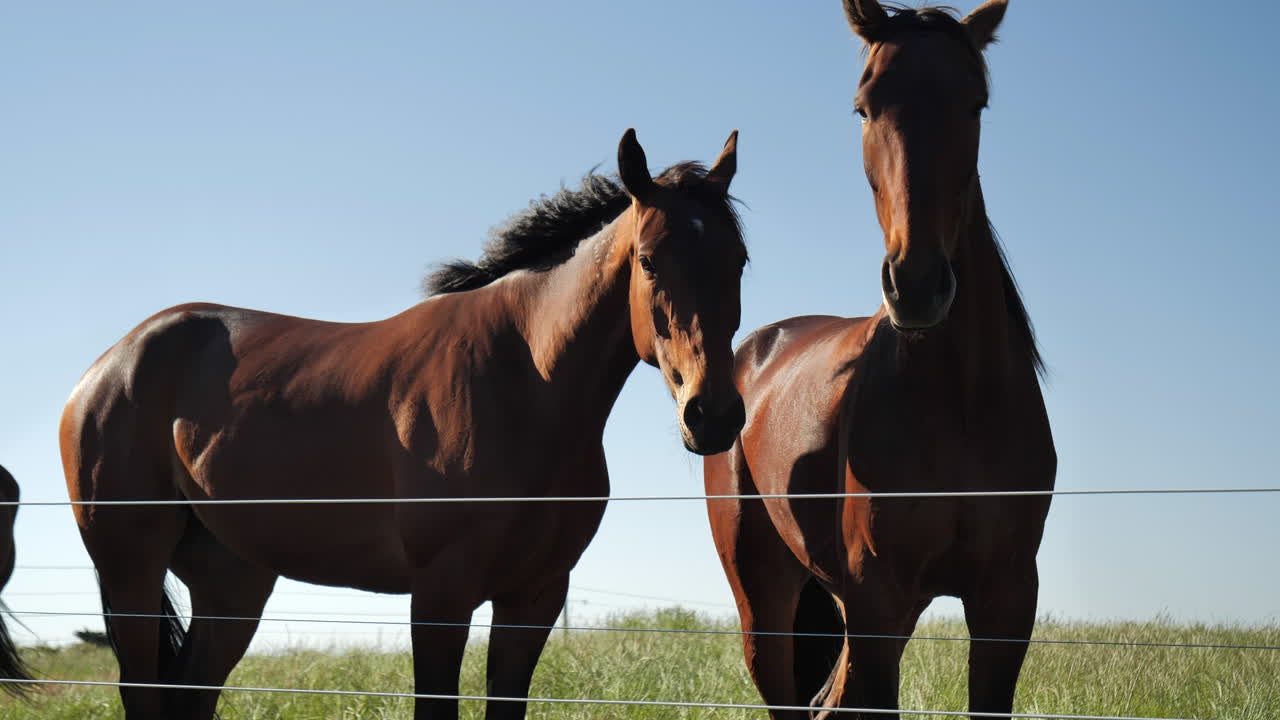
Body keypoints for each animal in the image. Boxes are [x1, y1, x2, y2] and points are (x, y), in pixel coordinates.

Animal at [60, 128, 748, 720]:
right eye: (649, 261)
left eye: (739, 259)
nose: (713, 415)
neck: (523, 381)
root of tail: (107, 368)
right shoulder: (441, 596)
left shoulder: (534, 597)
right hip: (132, 568)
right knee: (143, 690)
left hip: (232, 582)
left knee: (192, 692)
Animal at [704, 3, 1054, 718]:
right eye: (864, 107)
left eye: (975, 104)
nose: (916, 285)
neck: (960, 405)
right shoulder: (877, 602)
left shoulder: (1006, 603)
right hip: (765, 600)